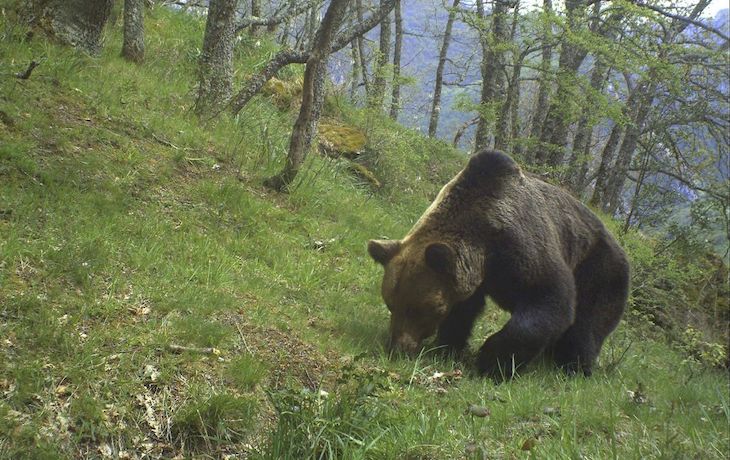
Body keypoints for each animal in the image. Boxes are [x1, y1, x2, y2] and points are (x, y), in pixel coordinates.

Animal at [368, 150, 630, 378]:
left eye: (422, 308)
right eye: (391, 303)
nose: (399, 346)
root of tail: (620, 247)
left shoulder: (521, 247)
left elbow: (550, 297)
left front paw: (491, 361)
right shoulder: (473, 276)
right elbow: (464, 311)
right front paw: (448, 346)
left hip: (600, 270)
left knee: (586, 327)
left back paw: (573, 368)